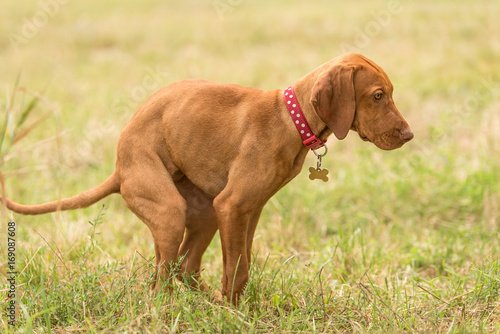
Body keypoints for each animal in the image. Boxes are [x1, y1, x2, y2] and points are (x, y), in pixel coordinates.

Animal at [1, 52, 412, 306]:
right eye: (378, 95)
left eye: (390, 93)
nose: (409, 136)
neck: (290, 118)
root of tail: (119, 168)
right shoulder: (233, 206)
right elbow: (234, 268)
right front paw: (233, 313)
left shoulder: (247, 210)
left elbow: (244, 264)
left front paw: (236, 310)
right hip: (168, 210)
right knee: (160, 282)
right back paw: (170, 313)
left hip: (203, 213)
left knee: (182, 268)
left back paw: (202, 305)